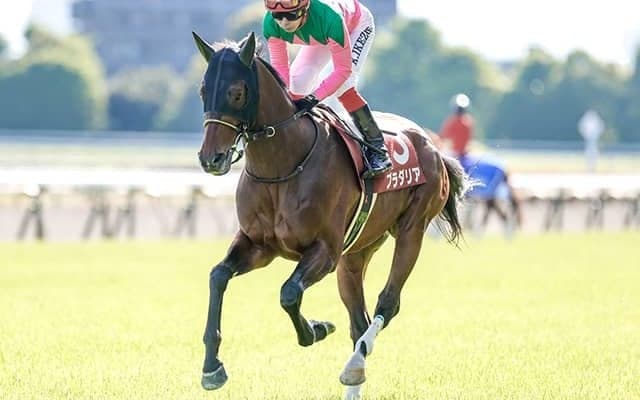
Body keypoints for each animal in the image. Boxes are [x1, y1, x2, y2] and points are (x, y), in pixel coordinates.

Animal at [192, 31, 470, 397]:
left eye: (236, 92)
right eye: (203, 90)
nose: (211, 158)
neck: (281, 166)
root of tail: (432, 146)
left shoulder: (324, 251)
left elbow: (289, 293)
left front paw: (317, 328)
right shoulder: (258, 245)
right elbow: (217, 276)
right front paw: (212, 367)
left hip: (412, 229)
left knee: (387, 304)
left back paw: (354, 366)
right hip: (356, 252)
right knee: (358, 320)